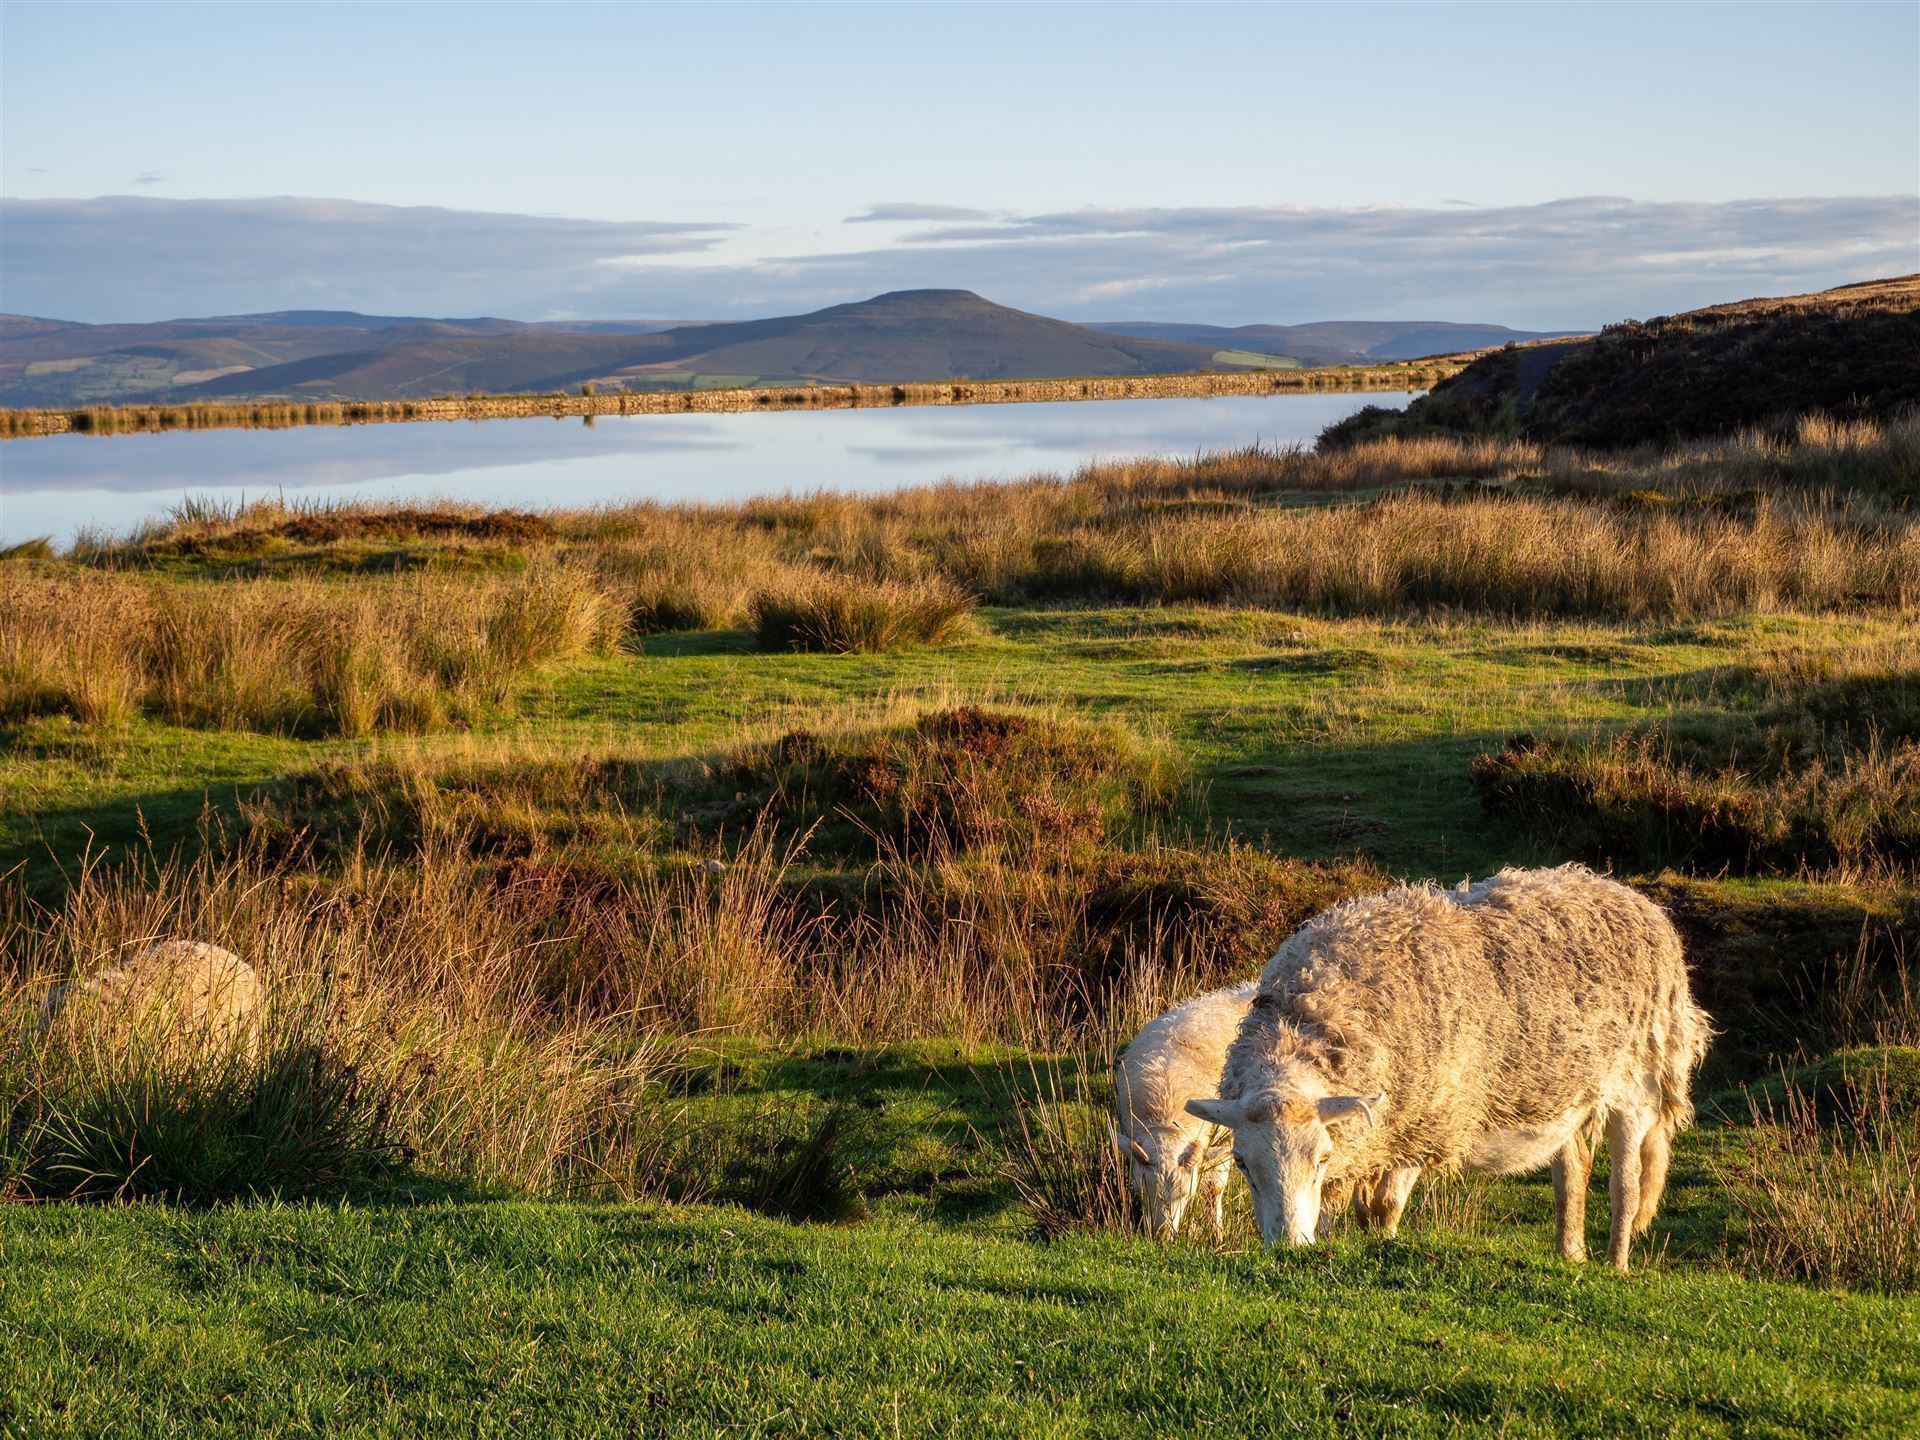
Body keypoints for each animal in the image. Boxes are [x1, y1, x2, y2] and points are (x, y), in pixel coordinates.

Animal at [1187, 865, 1710, 1271]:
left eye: (1320, 1158)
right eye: (1242, 1163)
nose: (1288, 1248)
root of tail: (1633, 898)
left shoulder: (1427, 1122)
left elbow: (1384, 1207)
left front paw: (1383, 1246)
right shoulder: (1376, 1134)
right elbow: (1351, 1207)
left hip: (1640, 1079)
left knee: (1627, 1183)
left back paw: (1616, 1263)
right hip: (1564, 1090)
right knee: (1573, 1170)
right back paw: (1570, 1255)